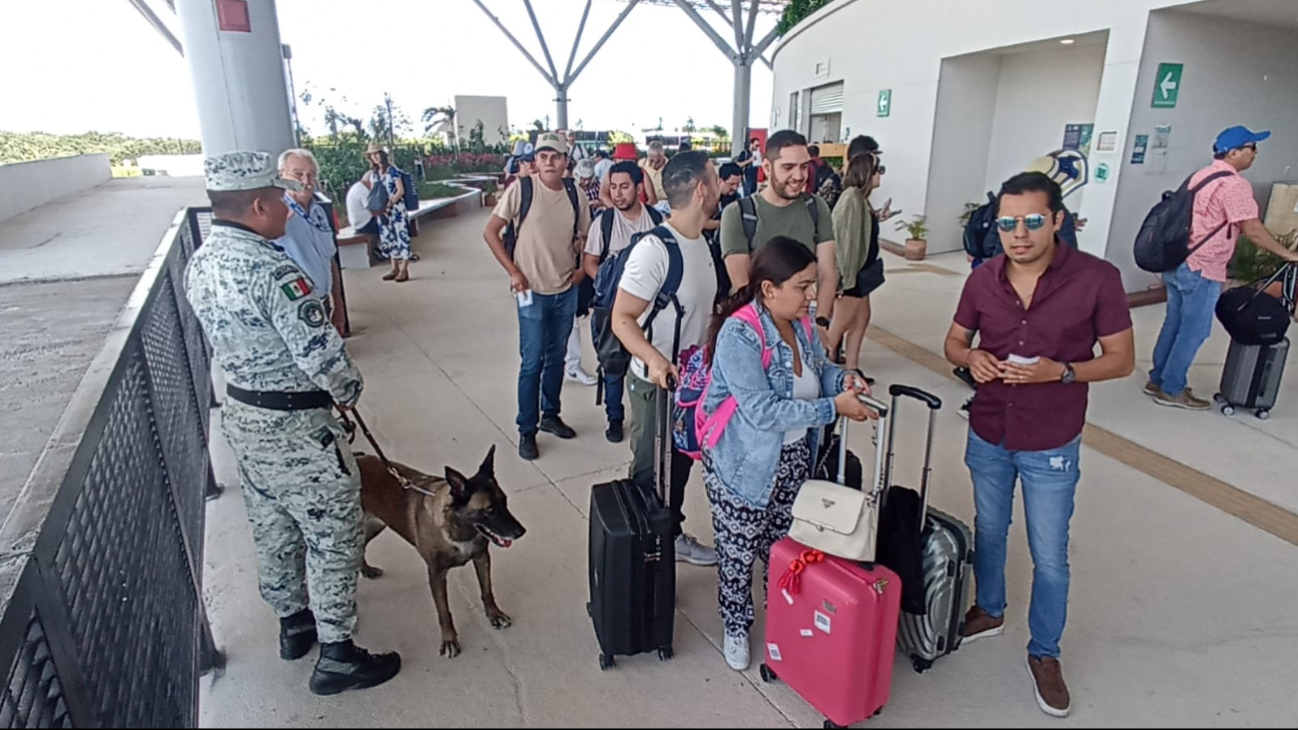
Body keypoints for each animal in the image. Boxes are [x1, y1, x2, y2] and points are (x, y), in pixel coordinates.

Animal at [358, 446, 524, 657]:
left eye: (505, 502)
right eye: (490, 510)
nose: (521, 532)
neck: (459, 529)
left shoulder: (482, 558)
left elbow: (487, 590)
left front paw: (494, 615)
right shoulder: (436, 574)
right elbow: (444, 611)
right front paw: (449, 640)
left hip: (374, 526)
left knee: (360, 547)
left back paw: (365, 569)